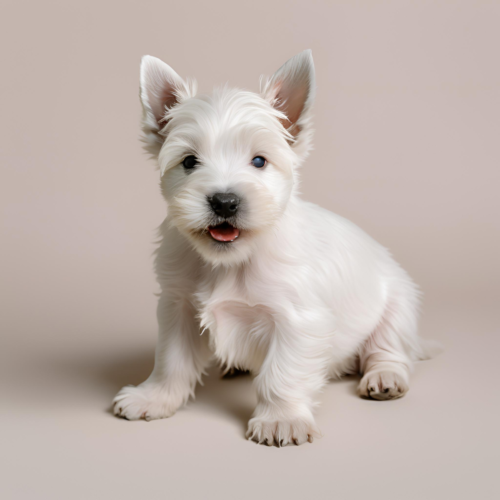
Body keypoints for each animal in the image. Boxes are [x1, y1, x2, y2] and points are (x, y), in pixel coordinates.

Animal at [113, 50, 438, 448]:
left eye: (259, 161)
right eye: (189, 161)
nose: (224, 201)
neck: (230, 261)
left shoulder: (299, 321)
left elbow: (281, 374)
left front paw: (281, 419)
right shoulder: (178, 307)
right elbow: (171, 361)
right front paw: (154, 397)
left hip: (398, 305)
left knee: (389, 350)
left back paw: (385, 377)